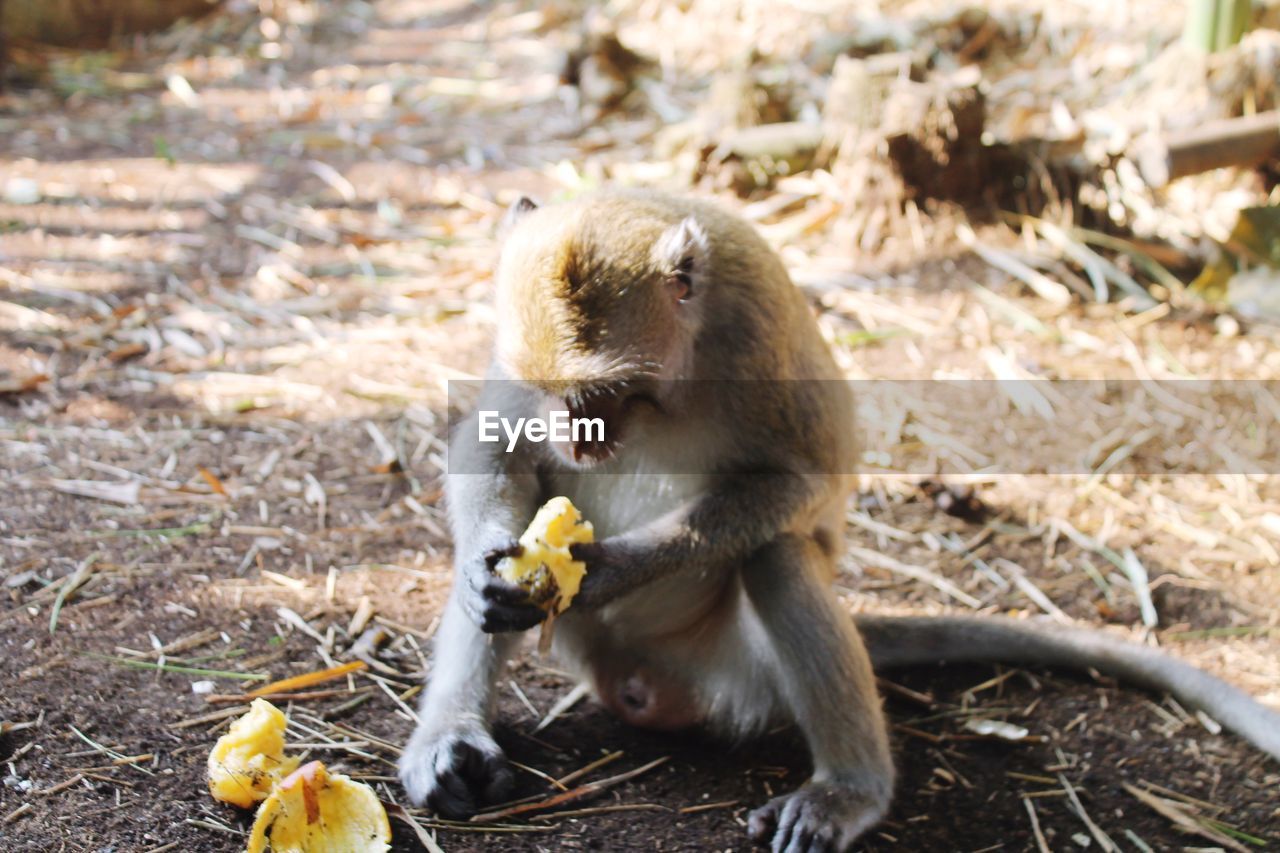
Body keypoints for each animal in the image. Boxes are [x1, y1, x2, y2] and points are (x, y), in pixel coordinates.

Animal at [399, 189, 1280, 845]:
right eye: (554, 394)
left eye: (606, 394)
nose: (575, 439)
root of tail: (646, 686)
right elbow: (495, 445)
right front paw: (495, 556)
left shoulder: (756, 337)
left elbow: (799, 480)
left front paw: (612, 568)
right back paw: (453, 739)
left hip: (738, 670)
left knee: (779, 556)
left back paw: (852, 790)